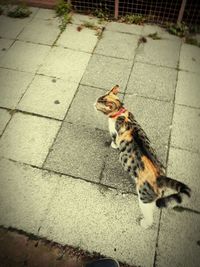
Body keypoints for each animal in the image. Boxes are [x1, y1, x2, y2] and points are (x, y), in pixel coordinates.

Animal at [94, 85, 191, 229]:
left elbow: (114, 140)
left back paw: (144, 223)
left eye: (98, 104)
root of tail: (159, 177)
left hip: (144, 199)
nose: (93, 103)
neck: (120, 113)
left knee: (149, 216)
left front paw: (113, 145)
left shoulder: (114, 133)